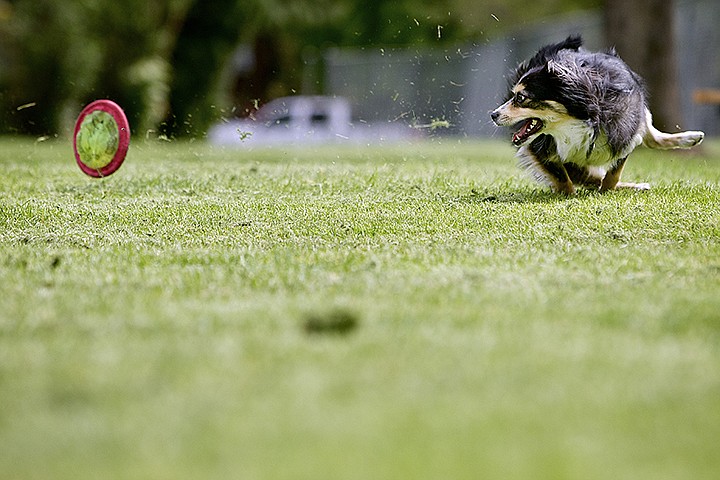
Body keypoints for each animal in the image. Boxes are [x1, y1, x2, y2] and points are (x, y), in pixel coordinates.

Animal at [490, 35, 704, 195]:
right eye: (513, 95)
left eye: (521, 98)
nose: (493, 115)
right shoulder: (539, 149)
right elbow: (562, 177)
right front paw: (568, 194)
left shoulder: (624, 133)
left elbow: (614, 172)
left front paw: (605, 190)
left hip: (639, 115)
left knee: (651, 137)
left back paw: (690, 138)